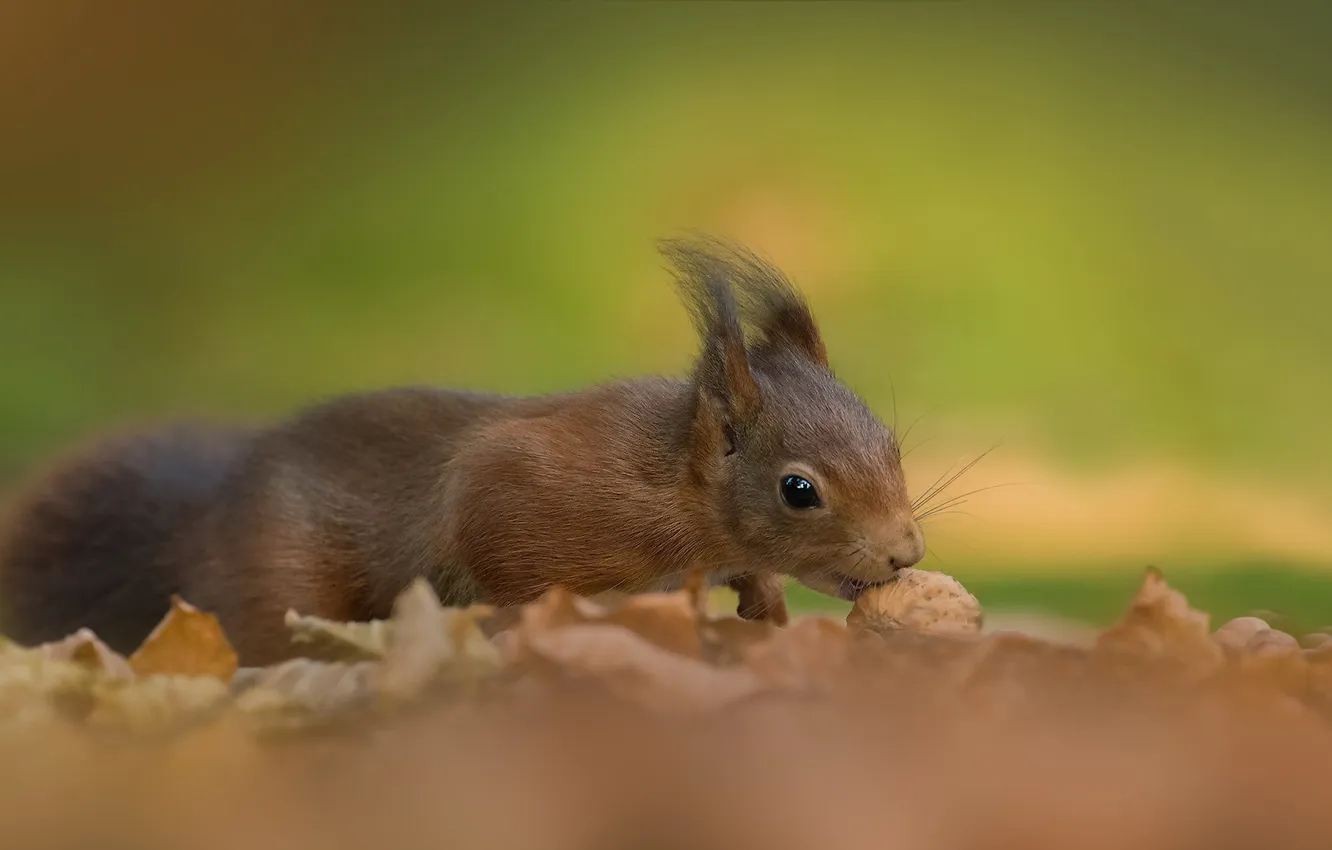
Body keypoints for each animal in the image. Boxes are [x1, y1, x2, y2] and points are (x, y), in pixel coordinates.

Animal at [0, 238, 921, 666]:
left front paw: (762, 603)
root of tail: (206, 521)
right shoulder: (518, 492)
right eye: (798, 490)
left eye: (893, 447)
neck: (669, 478)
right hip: (278, 586)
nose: (905, 555)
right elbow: (495, 552)